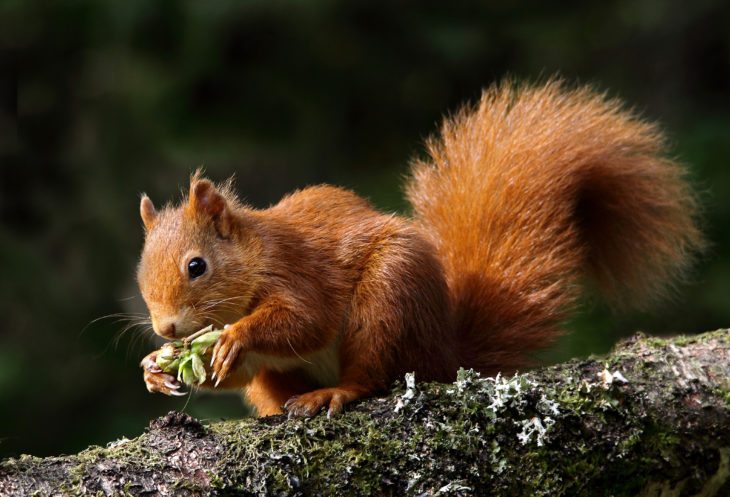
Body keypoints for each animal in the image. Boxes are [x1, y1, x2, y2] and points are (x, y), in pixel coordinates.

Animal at [135, 80, 700, 414]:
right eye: (141, 277)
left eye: (197, 266)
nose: (167, 328)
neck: (254, 258)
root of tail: (446, 355)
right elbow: (241, 371)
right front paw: (155, 368)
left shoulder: (295, 271)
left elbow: (304, 321)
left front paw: (235, 335)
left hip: (389, 299)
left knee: (372, 374)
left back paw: (334, 392)